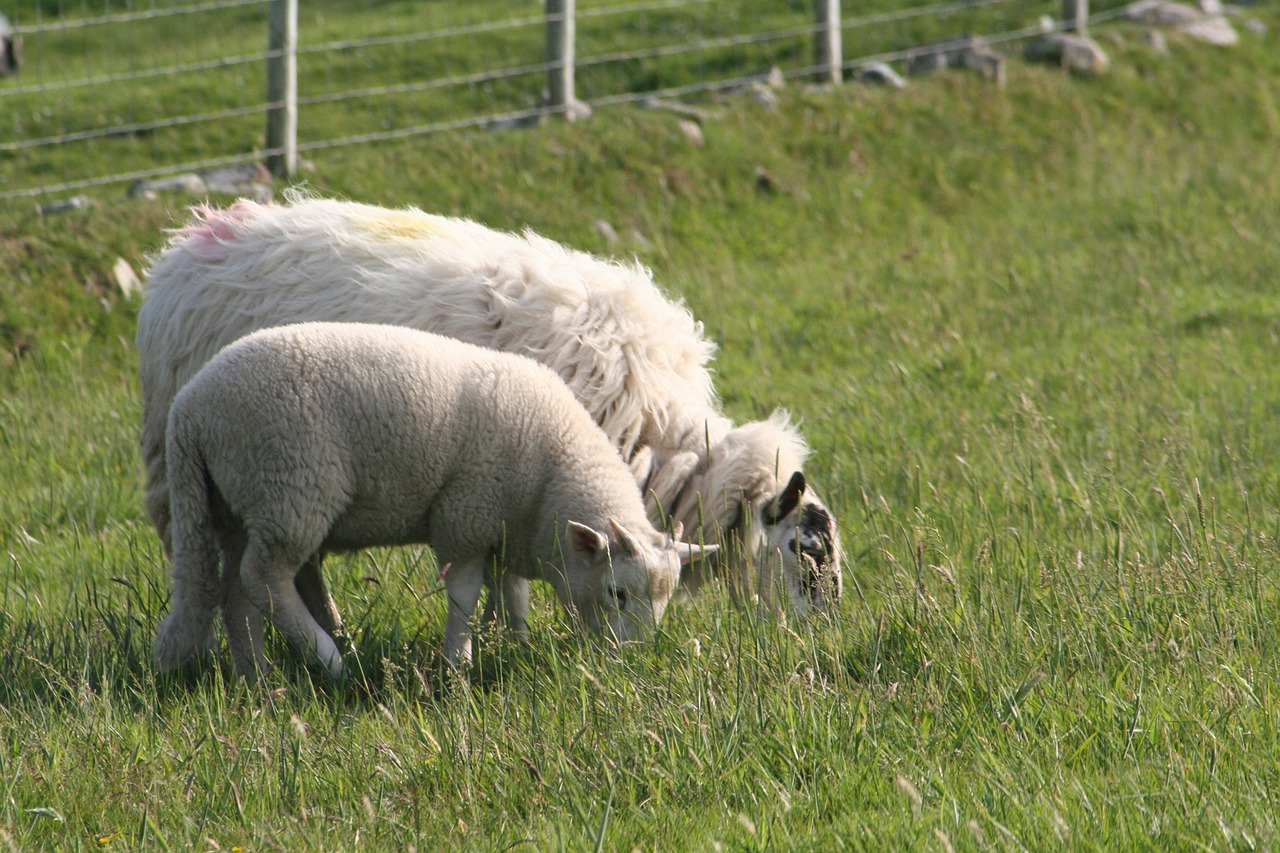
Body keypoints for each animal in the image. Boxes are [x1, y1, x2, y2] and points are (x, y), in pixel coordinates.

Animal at [153, 322, 716, 676]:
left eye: (666, 598)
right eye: (617, 592)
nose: (634, 659)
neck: (551, 476)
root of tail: (189, 410)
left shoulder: (504, 528)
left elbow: (512, 594)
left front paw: (514, 642)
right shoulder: (466, 517)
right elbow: (465, 595)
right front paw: (457, 664)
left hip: (235, 503)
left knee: (235, 594)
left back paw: (258, 677)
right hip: (289, 489)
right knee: (263, 578)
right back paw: (326, 657)